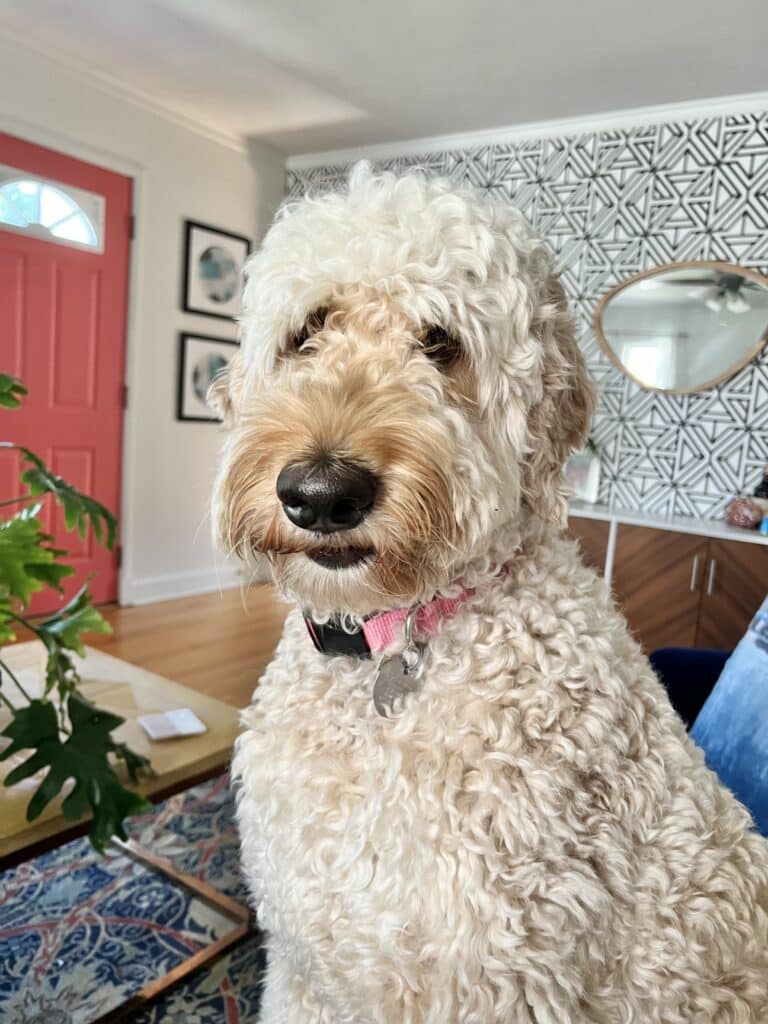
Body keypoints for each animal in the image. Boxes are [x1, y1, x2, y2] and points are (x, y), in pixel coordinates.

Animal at [211, 163, 768, 1019]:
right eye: (307, 330)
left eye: (441, 343)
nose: (321, 492)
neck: (388, 646)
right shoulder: (304, 969)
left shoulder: (491, 982)